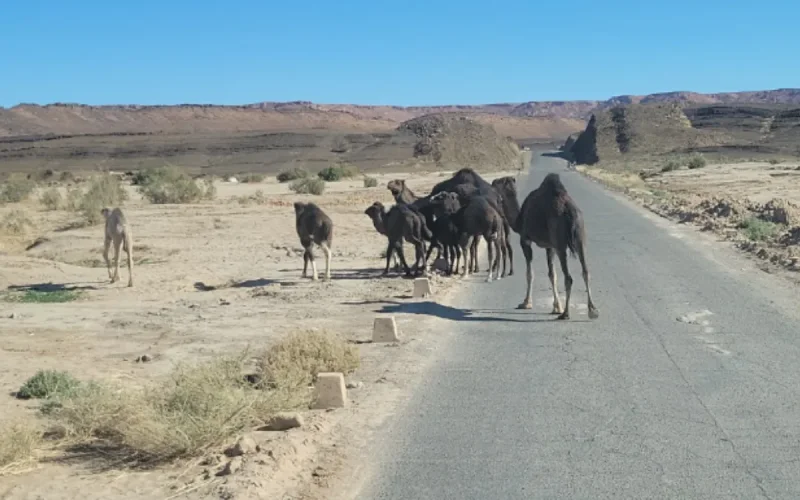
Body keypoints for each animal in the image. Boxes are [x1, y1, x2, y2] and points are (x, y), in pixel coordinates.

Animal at [515, 173, 598, 320]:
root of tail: (570, 210)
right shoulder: (550, 246)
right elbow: (552, 274)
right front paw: (556, 307)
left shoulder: (525, 239)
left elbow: (530, 273)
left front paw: (526, 303)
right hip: (580, 238)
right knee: (586, 271)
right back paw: (592, 310)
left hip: (560, 244)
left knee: (569, 278)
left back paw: (565, 313)